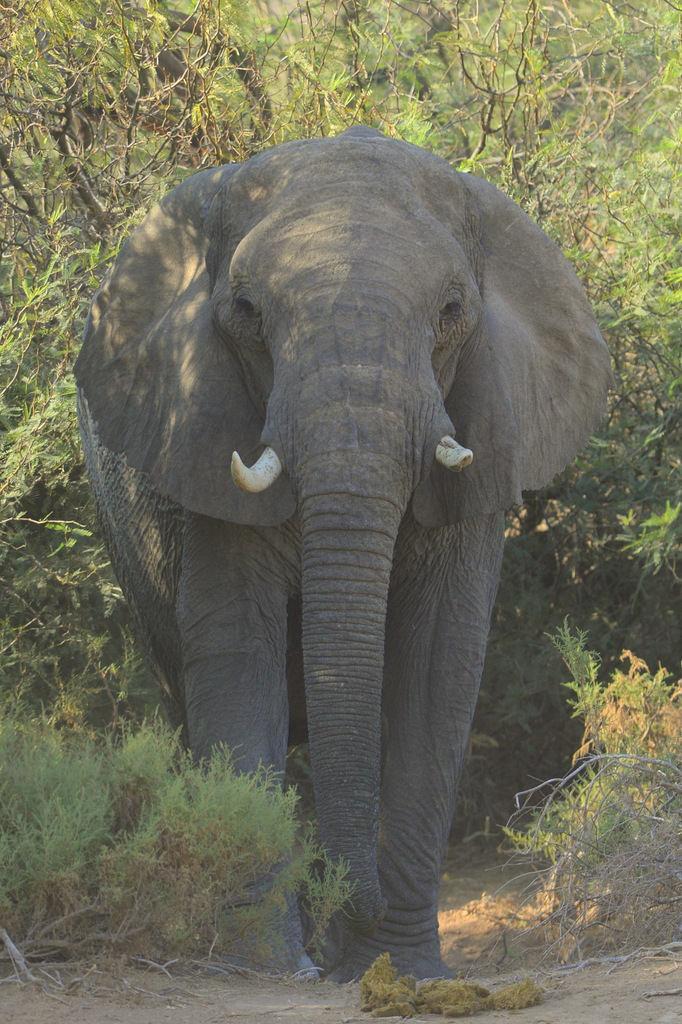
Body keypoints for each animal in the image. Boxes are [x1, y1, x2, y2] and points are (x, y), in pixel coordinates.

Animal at [74, 123, 610, 978]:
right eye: (247, 311)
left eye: (452, 311)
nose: (351, 907)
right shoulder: (205, 443)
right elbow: (239, 656)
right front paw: (266, 968)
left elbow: (436, 666)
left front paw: (402, 969)